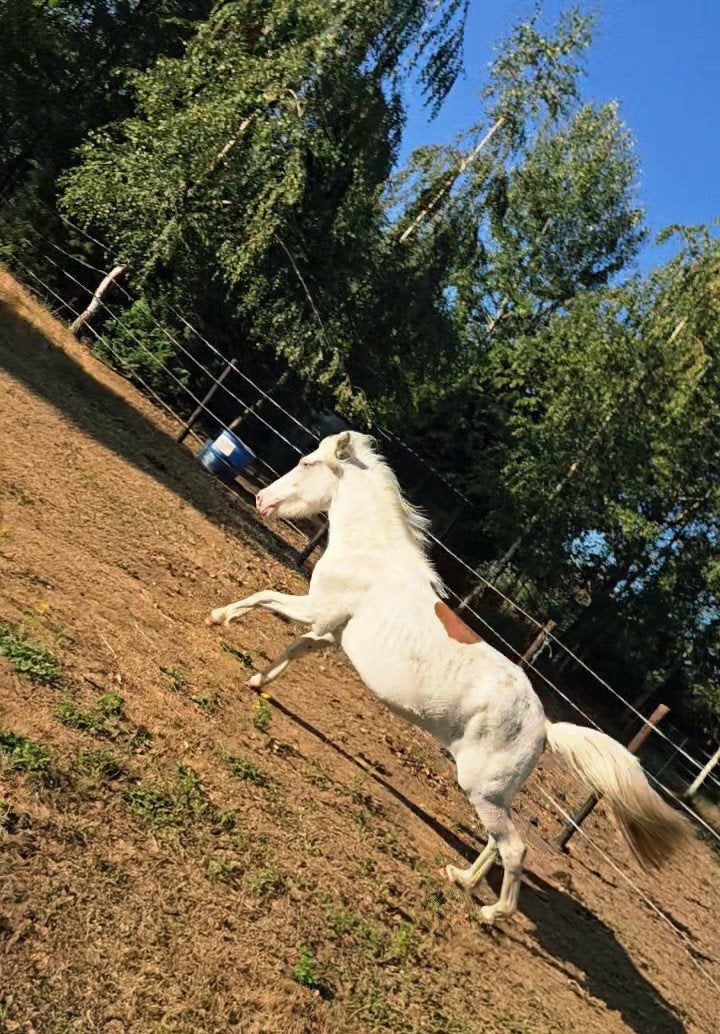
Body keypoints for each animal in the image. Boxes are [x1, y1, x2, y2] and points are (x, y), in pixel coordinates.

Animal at [208, 431, 688, 923]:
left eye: (307, 464)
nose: (262, 499)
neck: (370, 557)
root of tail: (545, 728)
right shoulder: (328, 631)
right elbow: (294, 648)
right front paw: (256, 681)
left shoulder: (316, 610)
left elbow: (262, 596)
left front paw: (218, 617)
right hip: (494, 795)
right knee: (497, 843)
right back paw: (462, 878)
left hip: (480, 789)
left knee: (515, 850)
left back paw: (491, 913)